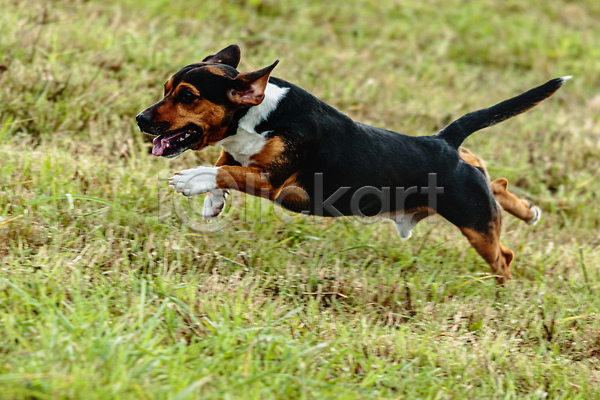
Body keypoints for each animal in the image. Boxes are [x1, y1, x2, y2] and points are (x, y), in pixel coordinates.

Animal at [136, 45, 568, 282]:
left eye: (187, 96)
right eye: (166, 89)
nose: (140, 119)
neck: (256, 116)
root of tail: (443, 143)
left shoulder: (274, 182)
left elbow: (224, 169)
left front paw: (192, 180)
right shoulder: (243, 157)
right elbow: (227, 163)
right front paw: (212, 202)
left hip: (475, 224)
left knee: (503, 255)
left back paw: (504, 293)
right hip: (473, 190)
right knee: (489, 174)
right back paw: (528, 211)